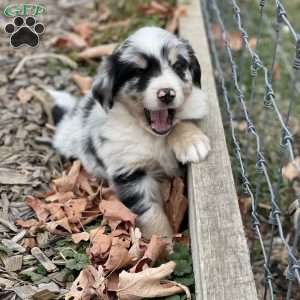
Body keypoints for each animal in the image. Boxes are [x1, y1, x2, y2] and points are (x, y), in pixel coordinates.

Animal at [51, 26, 210, 237]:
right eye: (138, 71)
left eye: (178, 66)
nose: (167, 94)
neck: (150, 135)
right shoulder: (129, 171)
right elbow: (150, 211)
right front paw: (163, 242)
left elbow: (179, 121)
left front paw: (192, 142)